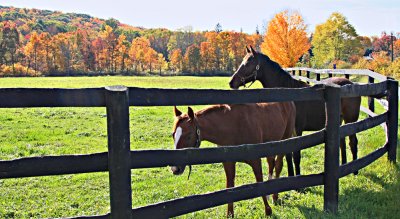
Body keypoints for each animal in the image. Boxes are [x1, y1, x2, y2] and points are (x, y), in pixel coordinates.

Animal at [228, 46, 362, 176]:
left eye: (248, 63)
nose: (231, 82)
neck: (290, 93)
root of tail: (350, 84)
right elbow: (288, 155)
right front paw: (291, 175)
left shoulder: (297, 130)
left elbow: (296, 156)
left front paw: (297, 177)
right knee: (342, 142)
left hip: (350, 121)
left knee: (353, 142)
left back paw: (355, 171)